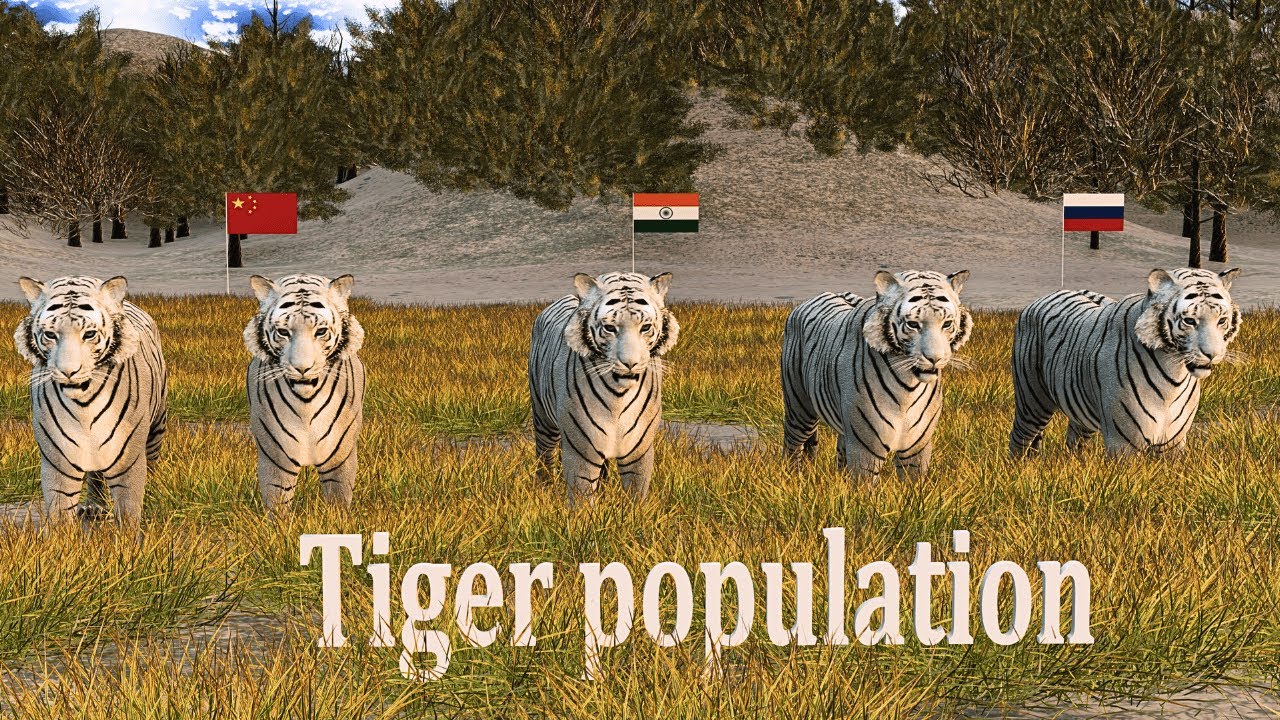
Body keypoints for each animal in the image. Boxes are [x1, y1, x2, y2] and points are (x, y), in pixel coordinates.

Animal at [13, 275, 168, 524]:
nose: (68, 372)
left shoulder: (128, 459)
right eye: (50, 335)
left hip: (157, 427)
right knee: (95, 475)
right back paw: (94, 506)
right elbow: (60, 511)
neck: (84, 405)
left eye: (89, 334)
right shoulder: (58, 462)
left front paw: (130, 533)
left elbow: (128, 508)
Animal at [243, 273, 366, 513]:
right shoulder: (276, 459)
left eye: (321, 331)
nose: (302, 368)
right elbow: (278, 504)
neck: (306, 402)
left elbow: (338, 501)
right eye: (283, 332)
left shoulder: (340, 458)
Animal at [528, 271, 680, 504]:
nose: (630, 363)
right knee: (544, 456)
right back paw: (545, 488)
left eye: (645, 327)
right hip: (543, 420)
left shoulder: (640, 450)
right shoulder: (581, 450)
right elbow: (582, 496)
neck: (618, 396)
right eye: (610, 328)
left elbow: (637, 494)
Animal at [781, 270, 972, 478]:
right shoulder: (865, 449)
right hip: (799, 409)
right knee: (791, 445)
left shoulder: (916, 450)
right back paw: (791, 477)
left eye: (947, 324)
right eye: (913, 324)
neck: (908, 388)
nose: (935, 358)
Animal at [1010, 267, 1241, 457]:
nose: (1212, 354)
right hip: (1032, 401)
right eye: (1189, 321)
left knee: (1075, 439)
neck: (1174, 376)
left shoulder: (1173, 443)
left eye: (1221, 320)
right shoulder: (1123, 443)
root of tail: (1044, 297)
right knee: (1019, 438)